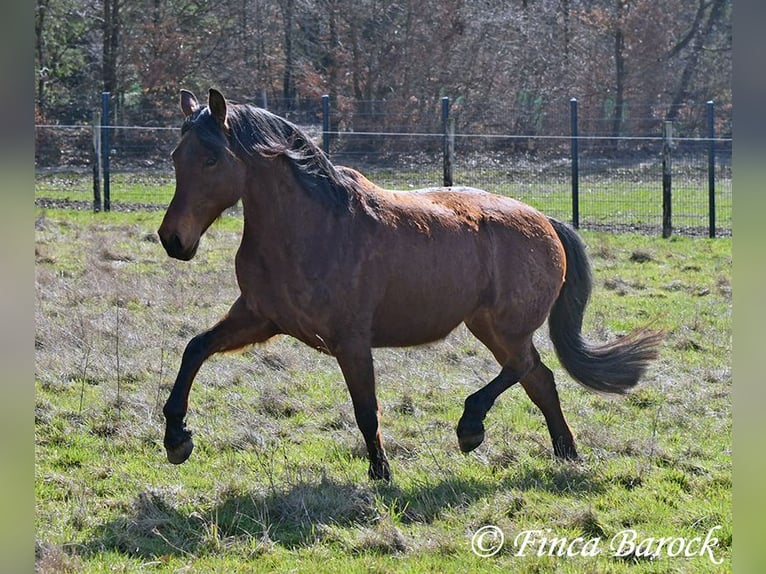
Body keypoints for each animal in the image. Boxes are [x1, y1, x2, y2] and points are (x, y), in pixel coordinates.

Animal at [157, 88, 661, 481]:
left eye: (211, 158)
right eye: (176, 157)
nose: (173, 239)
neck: (313, 227)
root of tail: (545, 220)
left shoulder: (350, 340)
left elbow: (366, 409)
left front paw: (381, 473)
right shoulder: (259, 318)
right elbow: (195, 349)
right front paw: (176, 438)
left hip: (505, 326)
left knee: (525, 368)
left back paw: (471, 427)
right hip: (490, 327)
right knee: (538, 378)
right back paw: (564, 451)